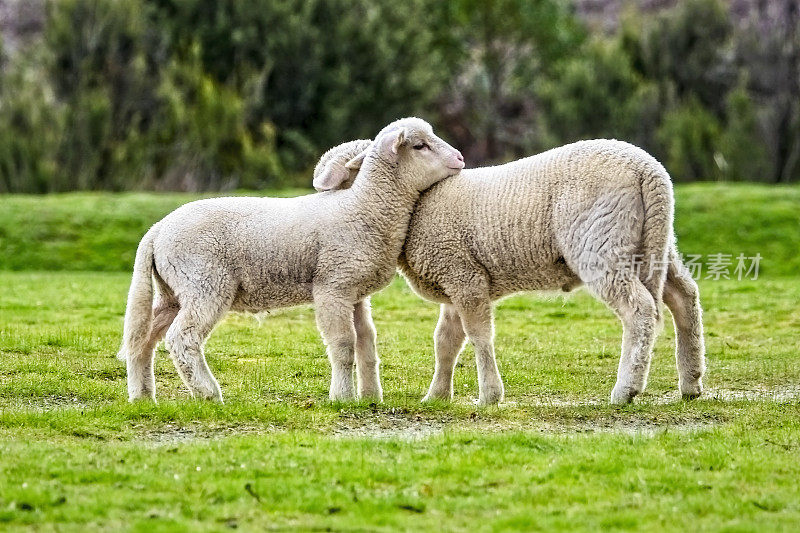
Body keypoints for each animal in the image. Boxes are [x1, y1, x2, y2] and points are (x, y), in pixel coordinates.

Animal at [115, 115, 460, 400]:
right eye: (420, 145)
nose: (460, 158)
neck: (364, 207)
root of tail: (157, 231)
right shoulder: (332, 287)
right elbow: (343, 345)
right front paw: (343, 398)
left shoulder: (356, 293)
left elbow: (366, 344)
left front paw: (371, 397)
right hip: (205, 284)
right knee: (182, 339)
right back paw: (209, 394)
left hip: (173, 292)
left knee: (142, 339)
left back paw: (142, 396)